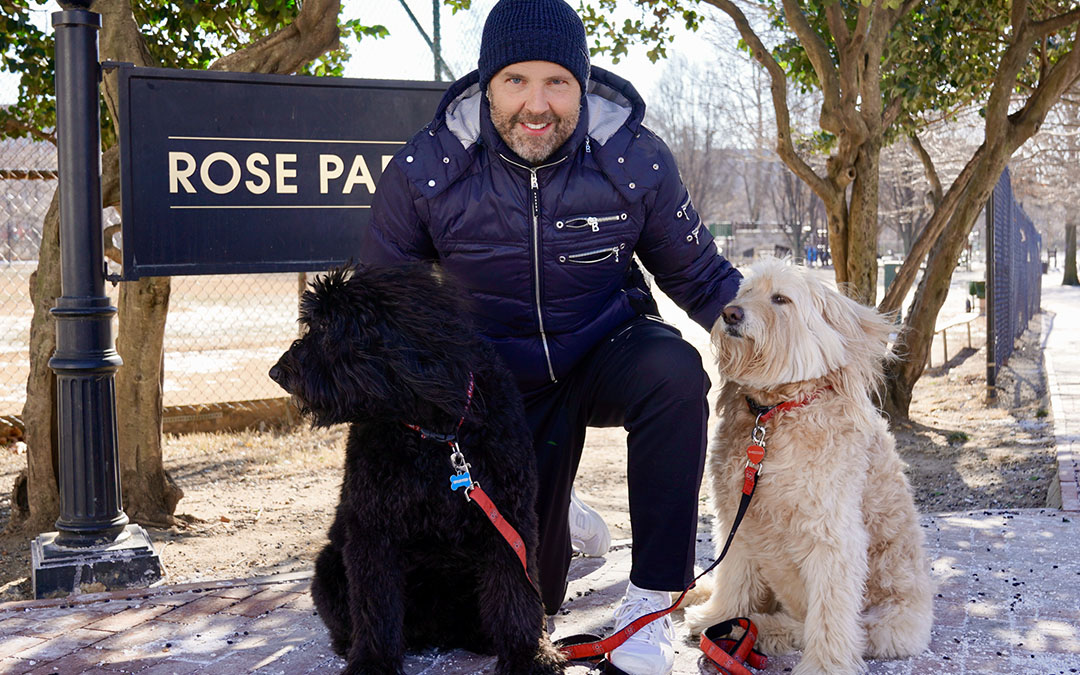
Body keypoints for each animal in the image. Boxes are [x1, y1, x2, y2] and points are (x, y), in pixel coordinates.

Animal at [270, 263, 565, 673]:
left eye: (327, 326)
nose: (277, 372)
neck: (436, 436)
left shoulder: (509, 519)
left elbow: (515, 593)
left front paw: (529, 654)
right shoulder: (373, 529)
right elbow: (375, 604)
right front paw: (372, 661)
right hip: (329, 565)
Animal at [686, 258, 933, 673]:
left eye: (780, 299)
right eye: (744, 293)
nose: (730, 313)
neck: (774, 414)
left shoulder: (833, 537)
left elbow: (829, 614)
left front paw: (824, 666)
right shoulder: (737, 518)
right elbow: (733, 576)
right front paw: (718, 616)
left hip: (886, 624)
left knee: (815, 626)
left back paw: (762, 629)